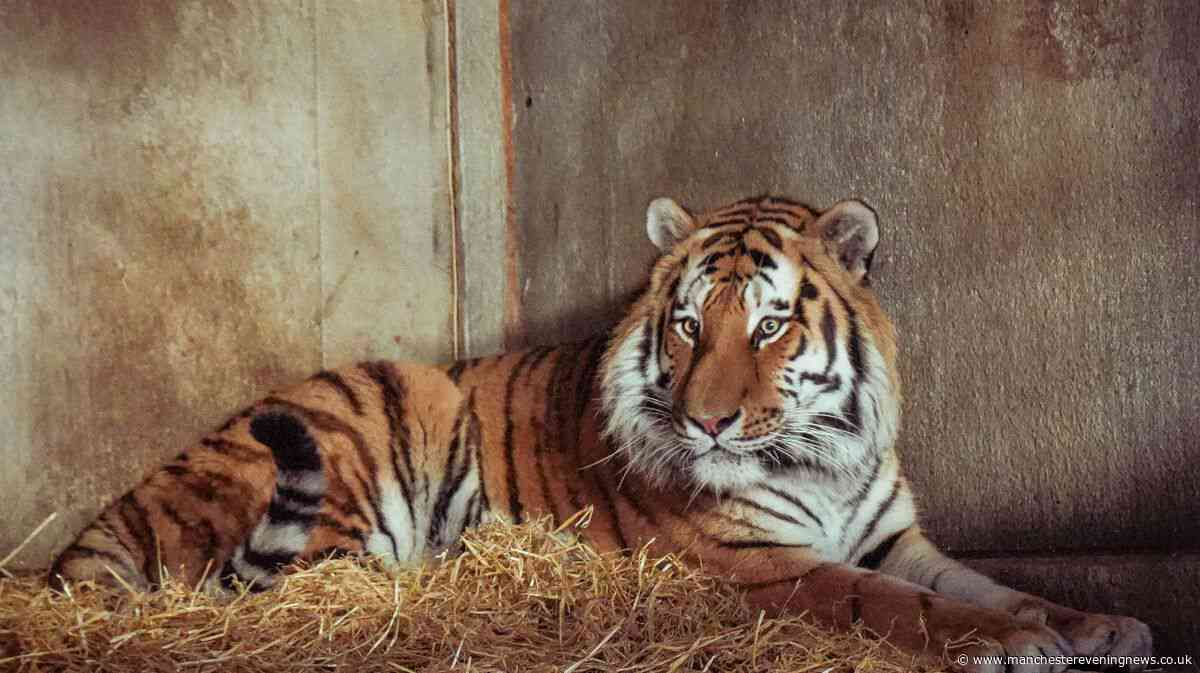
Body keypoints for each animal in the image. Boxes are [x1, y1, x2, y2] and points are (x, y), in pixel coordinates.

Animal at [49, 194, 1152, 672]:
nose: (708, 419)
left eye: (771, 324)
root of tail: (114, 512)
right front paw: (1015, 643)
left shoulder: (894, 537)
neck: (823, 458)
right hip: (362, 435)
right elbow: (896, 605)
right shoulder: (764, 564)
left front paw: (1099, 624)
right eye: (689, 323)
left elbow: (990, 583)